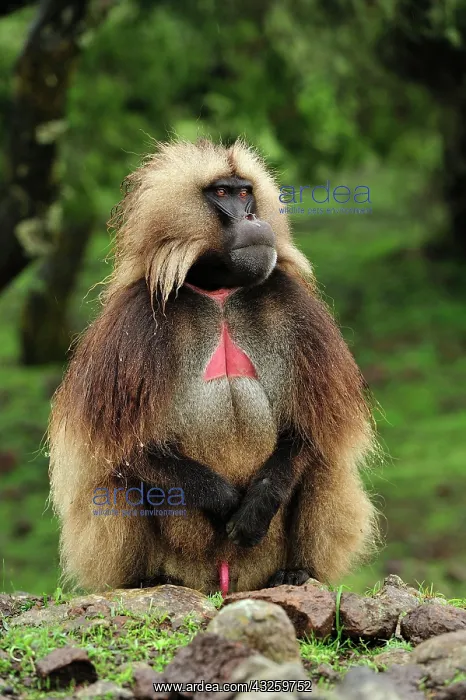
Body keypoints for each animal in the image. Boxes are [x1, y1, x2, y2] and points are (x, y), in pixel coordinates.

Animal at [49, 138, 378, 594]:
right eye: (222, 193)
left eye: (245, 193)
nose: (253, 218)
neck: (219, 291)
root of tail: (223, 584)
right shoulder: (132, 323)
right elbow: (122, 450)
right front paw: (225, 501)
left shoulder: (296, 307)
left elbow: (312, 432)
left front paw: (255, 506)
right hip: (184, 563)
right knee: (116, 480)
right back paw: (145, 579)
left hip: (259, 566)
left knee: (324, 465)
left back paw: (296, 573)